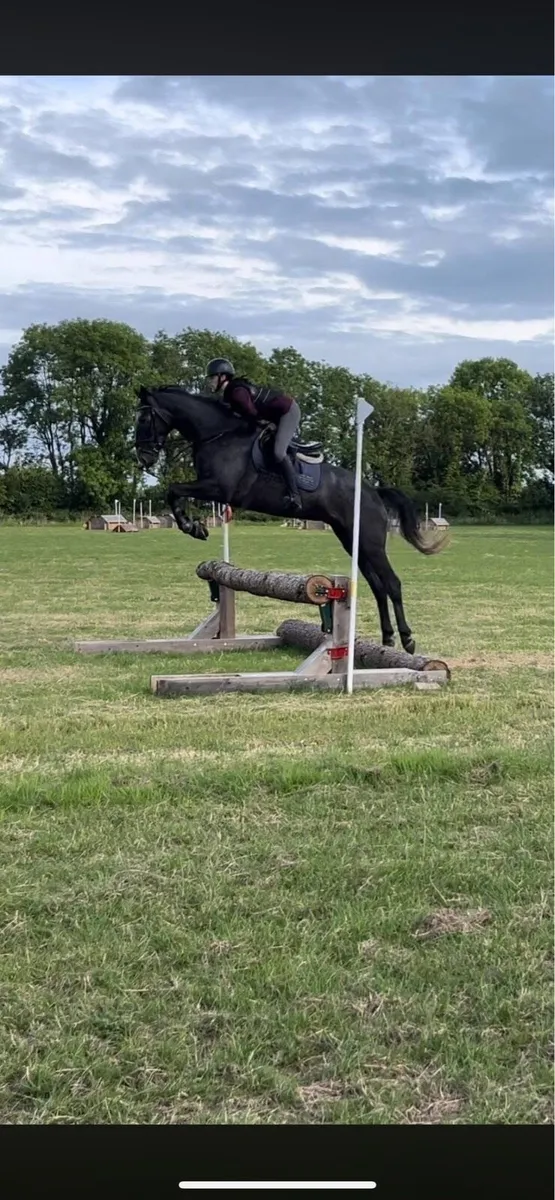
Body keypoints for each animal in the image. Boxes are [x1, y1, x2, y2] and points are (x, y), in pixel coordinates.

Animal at [134, 385, 444, 653]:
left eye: (145, 419)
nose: (144, 458)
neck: (218, 434)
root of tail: (374, 493)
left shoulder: (218, 488)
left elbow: (174, 489)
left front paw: (192, 526)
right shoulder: (212, 489)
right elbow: (174, 492)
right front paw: (193, 526)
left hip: (371, 543)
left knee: (392, 584)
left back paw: (407, 640)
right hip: (351, 540)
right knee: (378, 587)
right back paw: (388, 639)